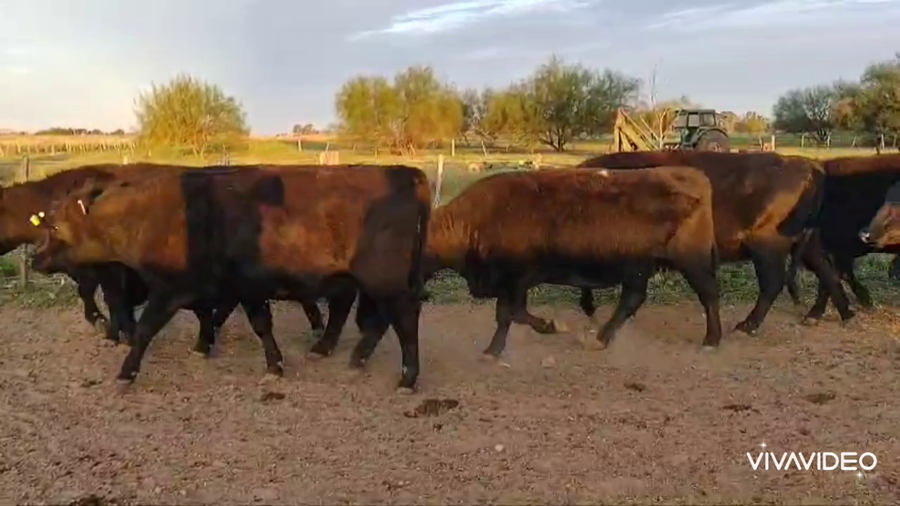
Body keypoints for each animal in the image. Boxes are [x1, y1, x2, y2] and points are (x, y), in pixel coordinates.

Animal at [30, 164, 430, 391]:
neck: (155, 216)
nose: (35, 257)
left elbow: (145, 330)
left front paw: (126, 373)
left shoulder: (170, 290)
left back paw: (408, 377)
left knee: (405, 317)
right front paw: (266, 362)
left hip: (385, 280)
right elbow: (252, 323)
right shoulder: (237, 287)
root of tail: (402, 172)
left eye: (55, 227)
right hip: (369, 282)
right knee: (376, 318)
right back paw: (350, 355)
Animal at [419, 166, 722, 357]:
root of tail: (691, 175)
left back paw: (712, 339)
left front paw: (541, 330)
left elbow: (508, 314)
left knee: (708, 293)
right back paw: (601, 338)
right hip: (639, 268)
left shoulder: (515, 280)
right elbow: (513, 314)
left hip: (691, 261)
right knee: (632, 299)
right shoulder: (514, 284)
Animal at [576, 151, 854, 333]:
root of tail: (808, 165)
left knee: (774, 283)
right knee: (827, 273)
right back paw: (835, 315)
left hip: (767, 247)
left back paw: (747, 325)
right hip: (807, 245)